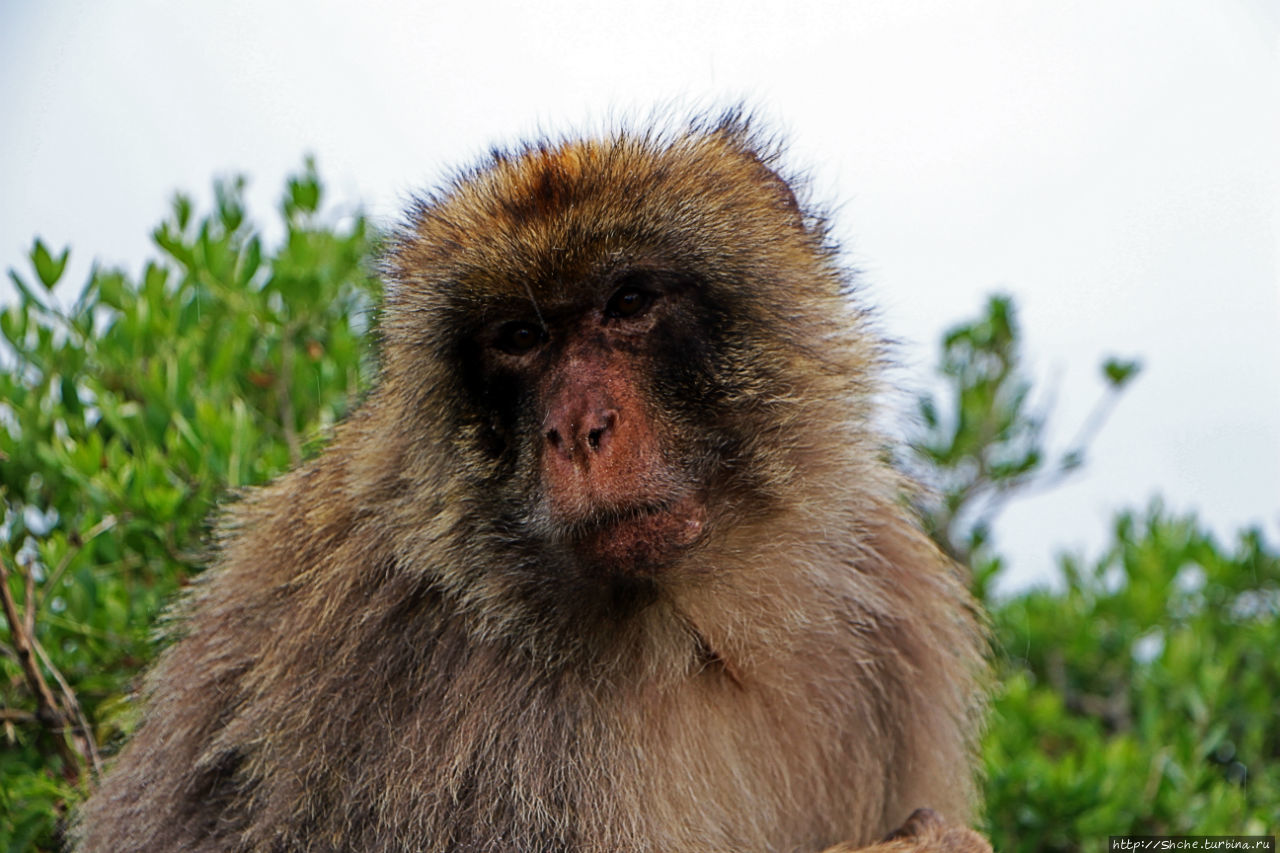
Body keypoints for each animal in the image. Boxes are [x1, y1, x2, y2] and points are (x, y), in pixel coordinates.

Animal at [72, 112, 988, 850]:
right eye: (518, 336)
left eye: (628, 302)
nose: (575, 430)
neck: (693, 628)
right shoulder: (437, 711)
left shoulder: (890, 604)